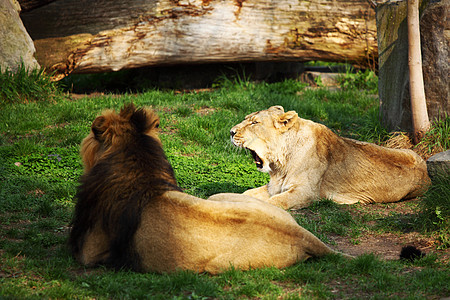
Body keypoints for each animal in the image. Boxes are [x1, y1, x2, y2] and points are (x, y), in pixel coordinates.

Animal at [230, 106, 430, 210]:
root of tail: (427, 172)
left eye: (254, 123)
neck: (281, 164)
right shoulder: (274, 187)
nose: (231, 132)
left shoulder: (306, 192)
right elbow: (245, 194)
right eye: (247, 118)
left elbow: (274, 202)